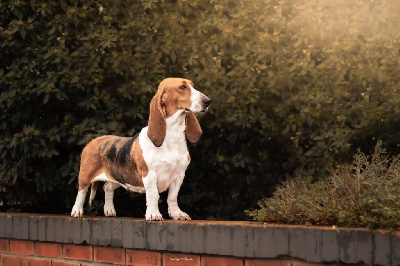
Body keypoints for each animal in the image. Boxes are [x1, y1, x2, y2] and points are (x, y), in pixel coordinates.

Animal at [70, 77, 211, 220]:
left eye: (193, 85)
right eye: (182, 87)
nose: (207, 101)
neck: (172, 135)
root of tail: (93, 140)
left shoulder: (179, 175)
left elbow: (172, 197)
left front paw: (177, 214)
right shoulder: (150, 174)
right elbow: (154, 195)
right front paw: (154, 214)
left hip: (118, 178)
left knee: (107, 187)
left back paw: (109, 210)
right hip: (85, 175)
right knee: (81, 192)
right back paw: (77, 211)